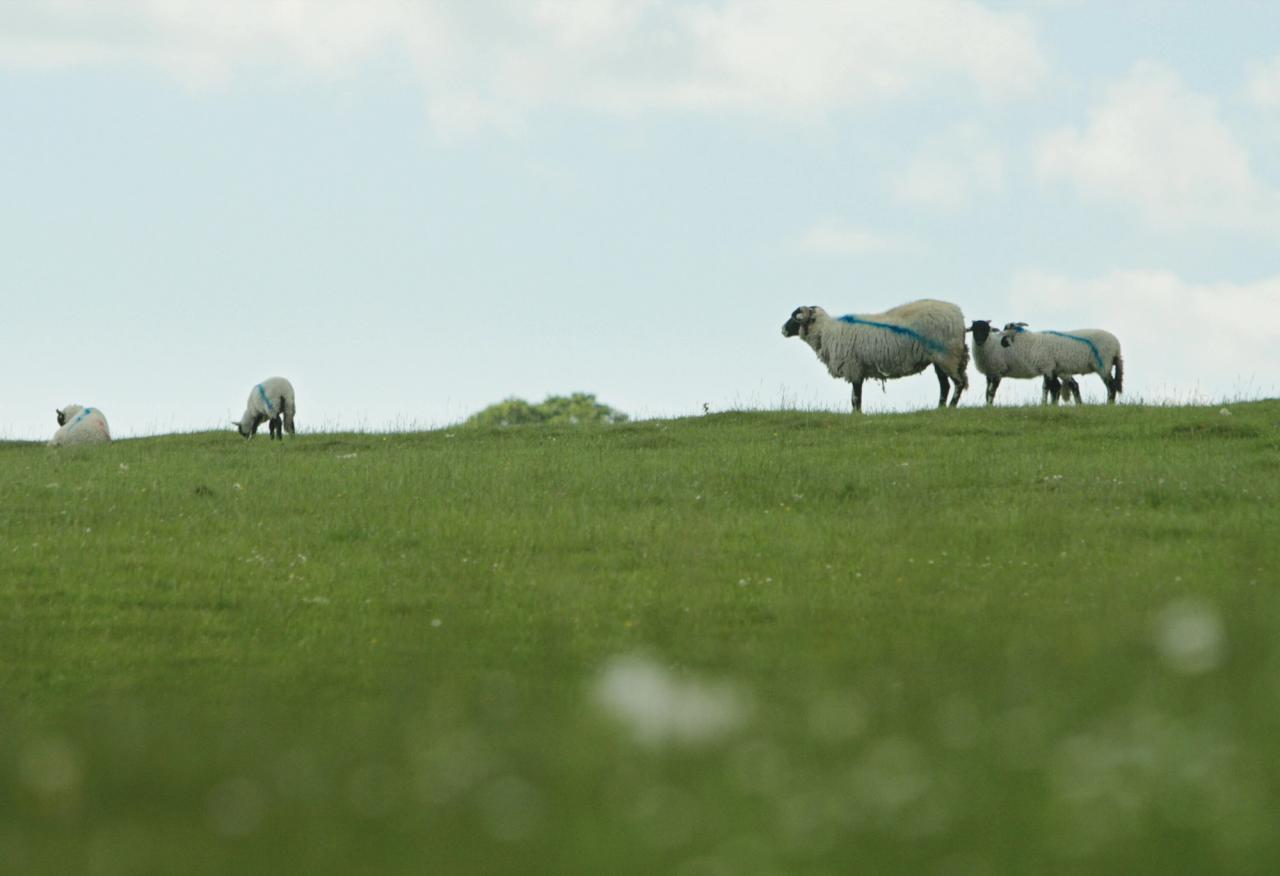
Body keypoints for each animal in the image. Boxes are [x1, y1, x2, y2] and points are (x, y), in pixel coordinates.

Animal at [782, 300, 969, 412]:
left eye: (794, 318)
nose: (782, 329)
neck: (825, 332)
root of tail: (959, 316)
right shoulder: (857, 369)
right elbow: (854, 398)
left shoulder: (854, 367)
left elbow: (856, 397)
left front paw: (857, 415)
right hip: (939, 359)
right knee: (945, 386)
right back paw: (940, 409)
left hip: (948, 355)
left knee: (958, 383)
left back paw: (951, 407)